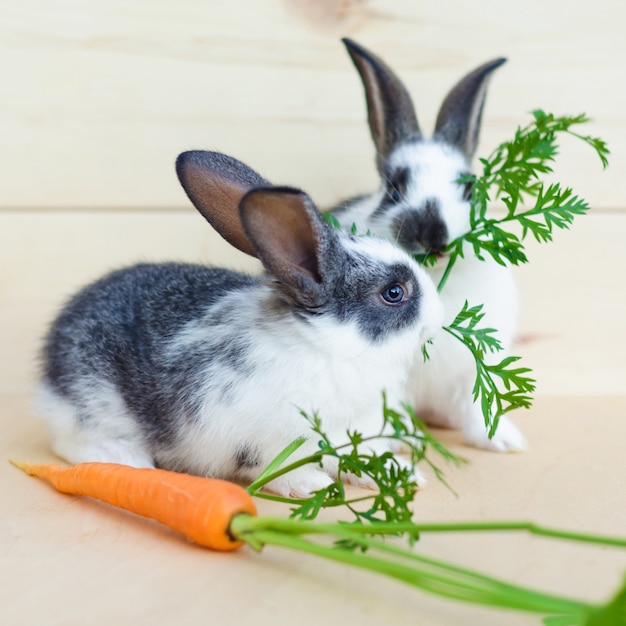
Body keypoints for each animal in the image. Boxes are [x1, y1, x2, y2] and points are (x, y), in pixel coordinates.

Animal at [35, 149, 444, 494]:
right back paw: (126, 459)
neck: (330, 348)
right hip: (91, 400)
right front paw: (311, 486)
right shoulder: (257, 437)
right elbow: (276, 468)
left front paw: (404, 473)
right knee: (69, 443)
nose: (439, 315)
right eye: (394, 292)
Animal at [334, 37, 524, 448]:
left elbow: (477, 406)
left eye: (470, 189)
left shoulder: (472, 369)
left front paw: (502, 441)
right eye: (394, 189)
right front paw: (400, 441)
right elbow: (392, 409)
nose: (433, 233)